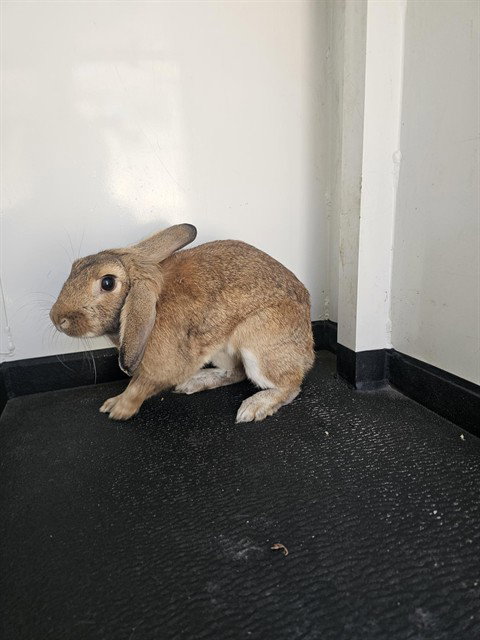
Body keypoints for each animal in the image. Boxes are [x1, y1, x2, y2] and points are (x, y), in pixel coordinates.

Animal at [50, 224, 315, 422]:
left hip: (258, 348)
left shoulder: (162, 367)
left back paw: (254, 407)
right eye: (75, 266)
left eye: (107, 283)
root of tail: (308, 348)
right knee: (236, 372)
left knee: (290, 386)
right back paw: (194, 382)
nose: (56, 318)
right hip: (219, 349)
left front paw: (120, 409)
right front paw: (113, 404)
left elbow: (139, 386)